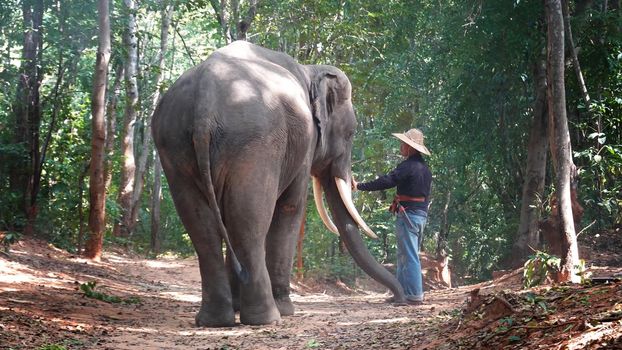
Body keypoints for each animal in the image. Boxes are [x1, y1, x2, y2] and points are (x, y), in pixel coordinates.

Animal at [152, 41, 410, 328]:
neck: (310, 70)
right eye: (352, 132)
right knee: (248, 222)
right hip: (256, 146)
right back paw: (266, 317)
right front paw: (287, 310)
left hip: (174, 144)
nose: (396, 300)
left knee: (202, 226)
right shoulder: (305, 144)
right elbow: (290, 208)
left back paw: (215, 321)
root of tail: (204, 104)